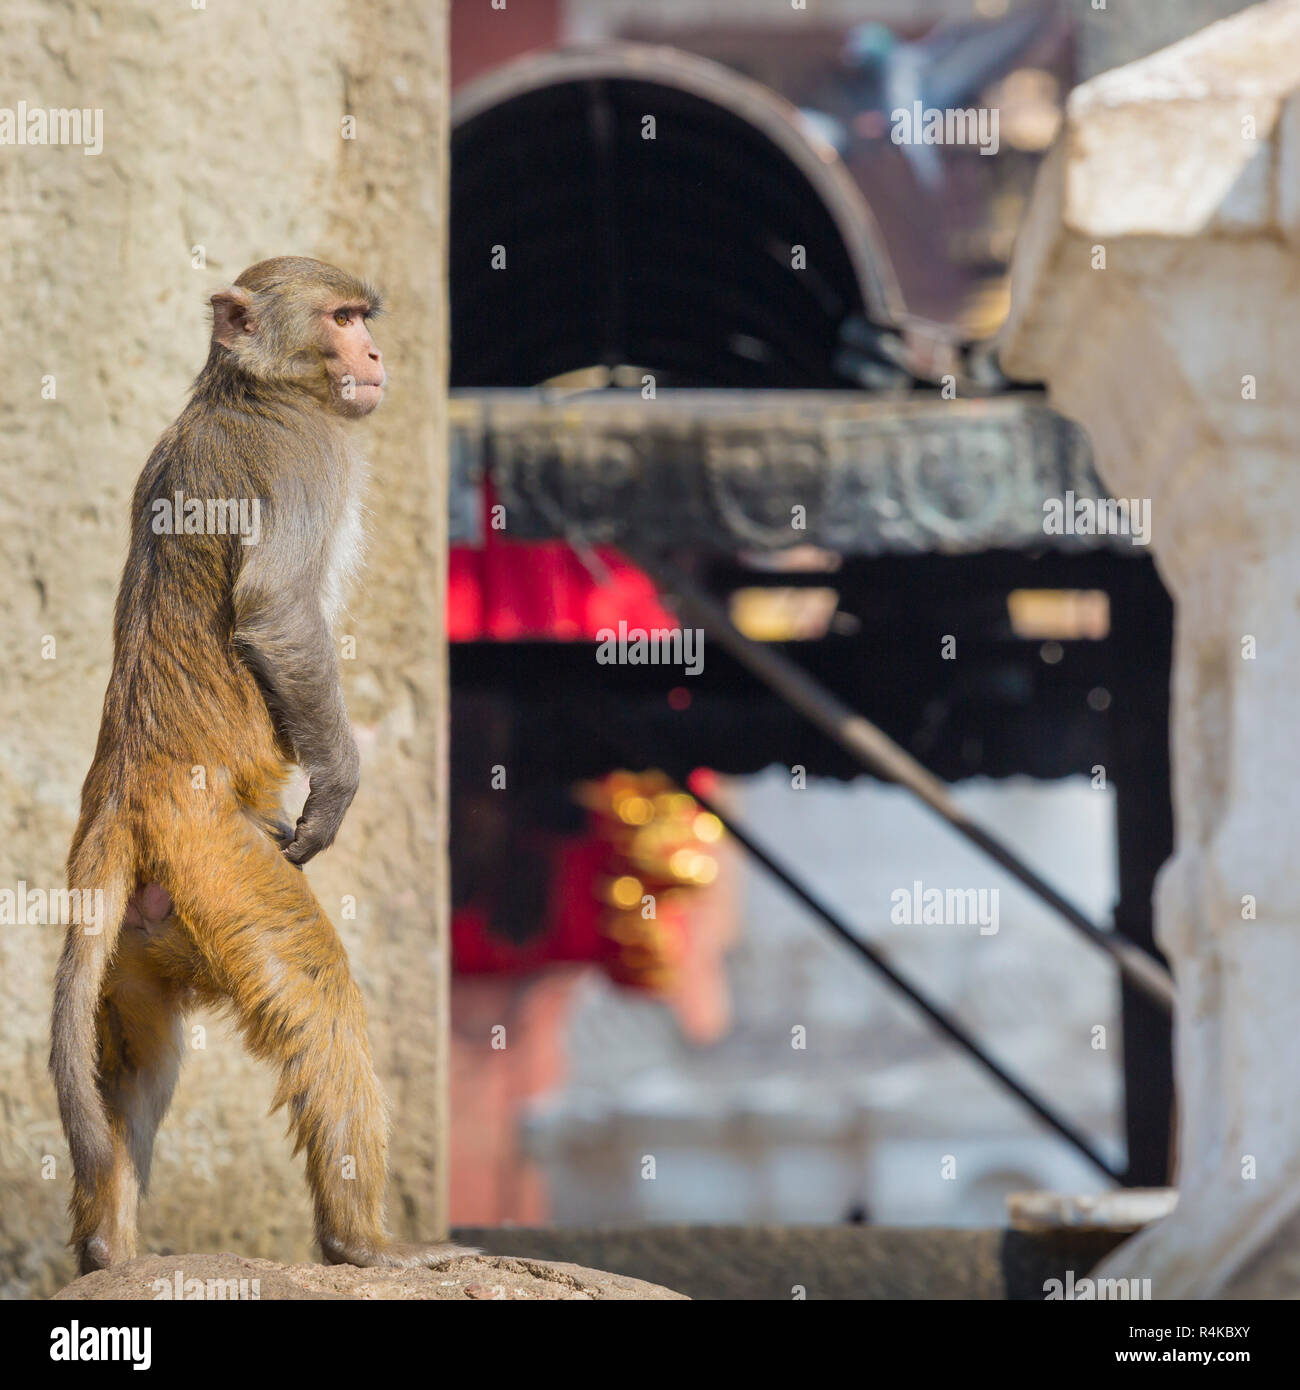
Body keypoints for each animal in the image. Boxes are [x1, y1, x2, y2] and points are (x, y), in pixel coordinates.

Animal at [50, 256, 468, 1275]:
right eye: (343, 317)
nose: (374, 353)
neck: (250, 387)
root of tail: (124, 797)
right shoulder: (304, 459)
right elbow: (278, 611)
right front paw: (338, 790)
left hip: (149, 923)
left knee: (133, 1068)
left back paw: (106, 1248)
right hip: (226, 864)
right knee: (317, 992)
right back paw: (361, 1243)